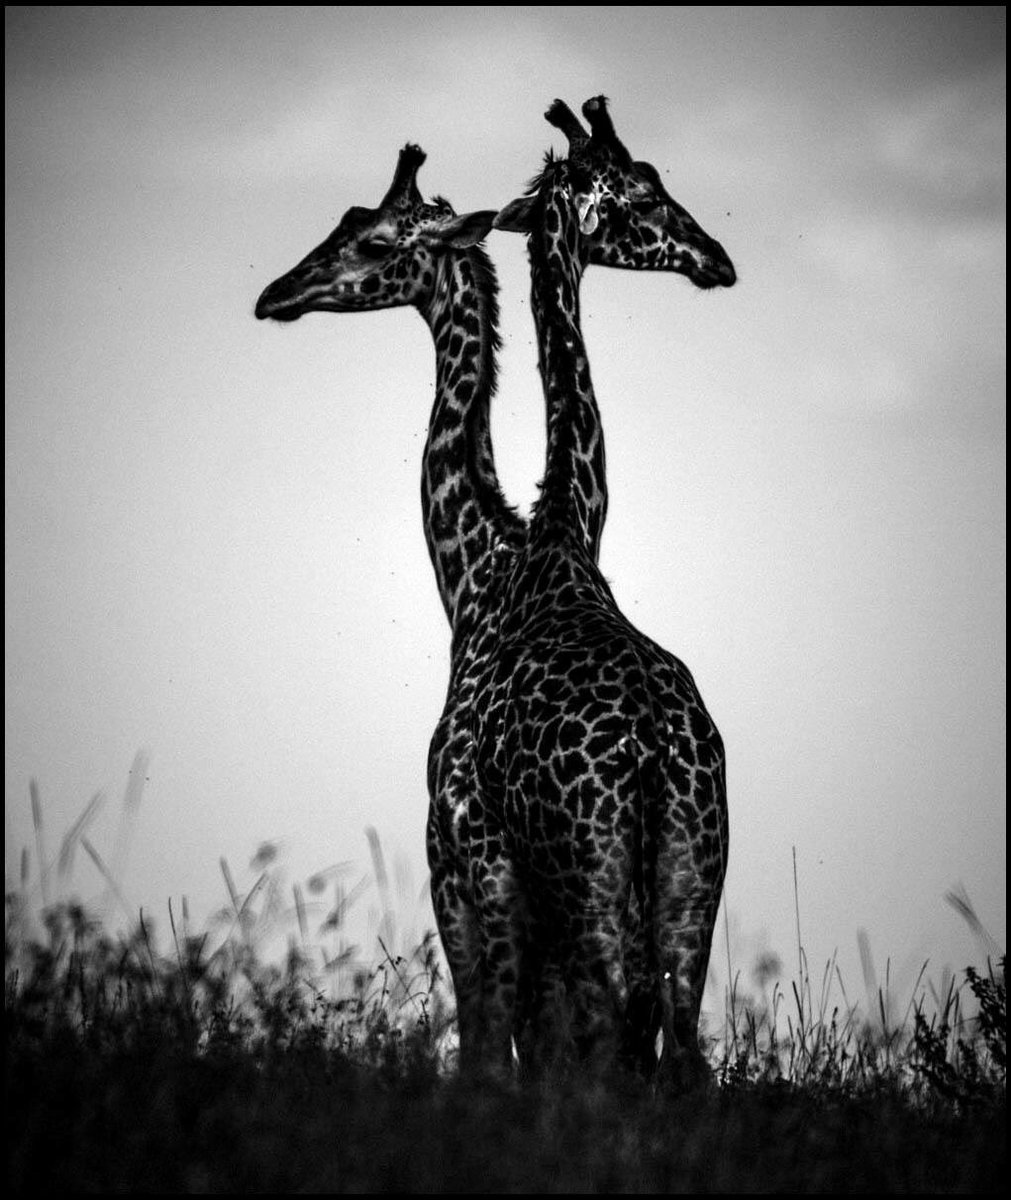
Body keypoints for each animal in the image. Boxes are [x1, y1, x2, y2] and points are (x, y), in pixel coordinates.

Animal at [255, 145, 525, 1071]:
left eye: (375, 242)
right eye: (340, 218)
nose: (274, 294)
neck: (477, 577)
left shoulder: (455, 861)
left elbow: (483, 1038)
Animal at [473, 96, 734, 1083]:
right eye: (645, 190)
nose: (717, 258)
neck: (564, 539)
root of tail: (658, 751)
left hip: (585, 881)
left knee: (611, 1038)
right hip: (692, 876)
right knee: (678, 1048)